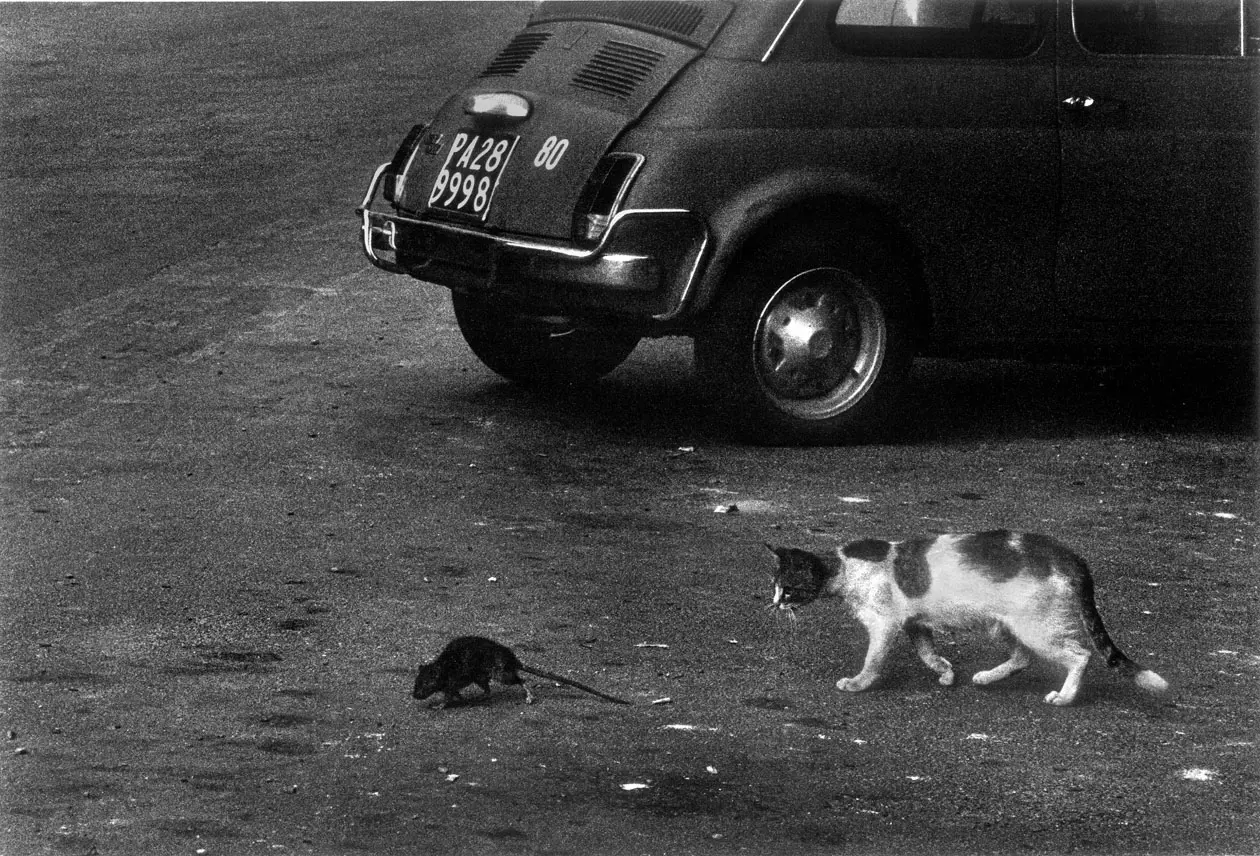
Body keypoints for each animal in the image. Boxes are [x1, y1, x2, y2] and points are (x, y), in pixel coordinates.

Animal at [766, 529, 1169, 711]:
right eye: (774, 588)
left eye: (787, 590)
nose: (772, 607)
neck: (843, 569)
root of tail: (1069, 555)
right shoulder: (916, 623)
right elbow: (928, 653)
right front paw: (945, 672)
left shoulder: (884, 625)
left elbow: (873, 660)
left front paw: (858, 683)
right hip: (1005, 625)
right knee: (1023, 657)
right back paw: (987, 678)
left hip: (1037, 628)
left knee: (1079, 655)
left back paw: (1065, 697)